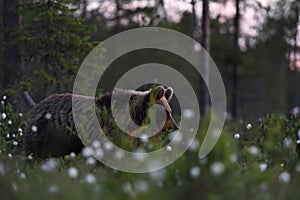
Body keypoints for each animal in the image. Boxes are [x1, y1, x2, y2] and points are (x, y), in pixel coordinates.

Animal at [24, 85, 178, 158]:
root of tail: (36, 106)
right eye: (165, 113)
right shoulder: (108, 129)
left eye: (170, 111)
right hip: (44, 134)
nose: (175, 127)